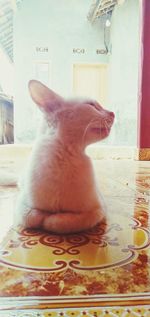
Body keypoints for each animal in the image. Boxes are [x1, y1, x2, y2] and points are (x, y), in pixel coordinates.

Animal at [13, 80, 113, 233]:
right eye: (91, 105)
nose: (113, 113)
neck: (65, 158)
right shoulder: (22, 205)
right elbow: (32, 217)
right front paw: (44, 215)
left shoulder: (97, 210)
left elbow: (61, 222)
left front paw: (50, 219)